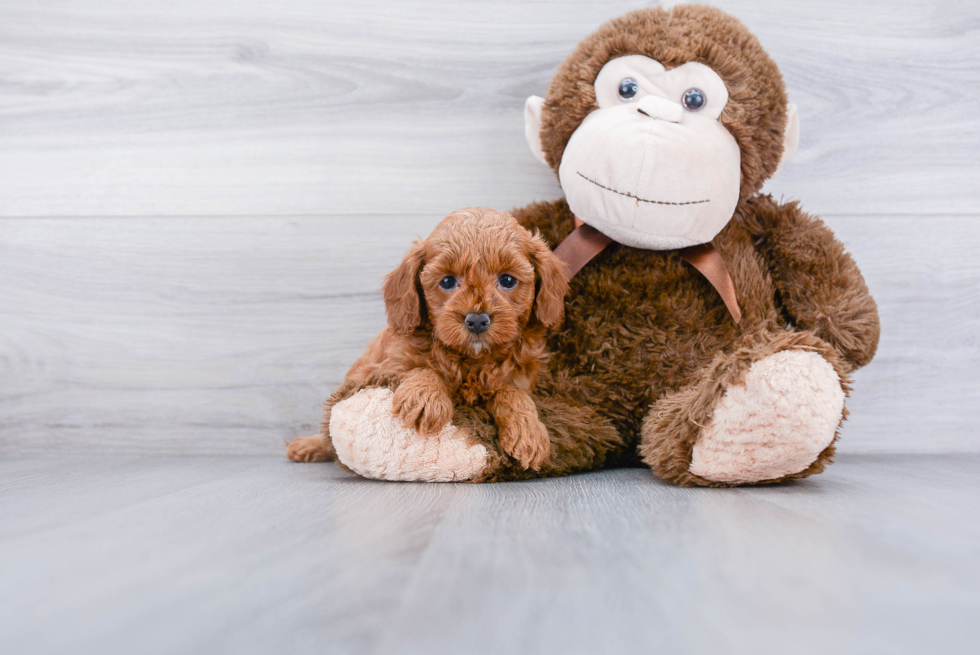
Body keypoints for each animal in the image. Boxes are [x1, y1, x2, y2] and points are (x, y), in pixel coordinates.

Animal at [288, 208, 572, 468]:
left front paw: (529, 431)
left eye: (508, 280)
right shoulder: (384, 366)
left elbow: (512, 394)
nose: (477, 320)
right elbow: (421, 367)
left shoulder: (517, 377)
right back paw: (309, 445)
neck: (471, 360)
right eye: (447, 282)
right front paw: (426, 398)